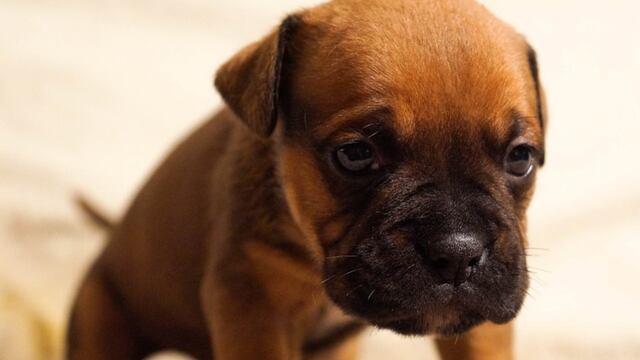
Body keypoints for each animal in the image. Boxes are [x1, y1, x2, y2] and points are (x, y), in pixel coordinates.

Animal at [65, 0, 544, 358]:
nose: (458, 252)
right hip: (100, 320)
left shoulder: (478, 326)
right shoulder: (253, 305)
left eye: (520, 158)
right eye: (355, 155)